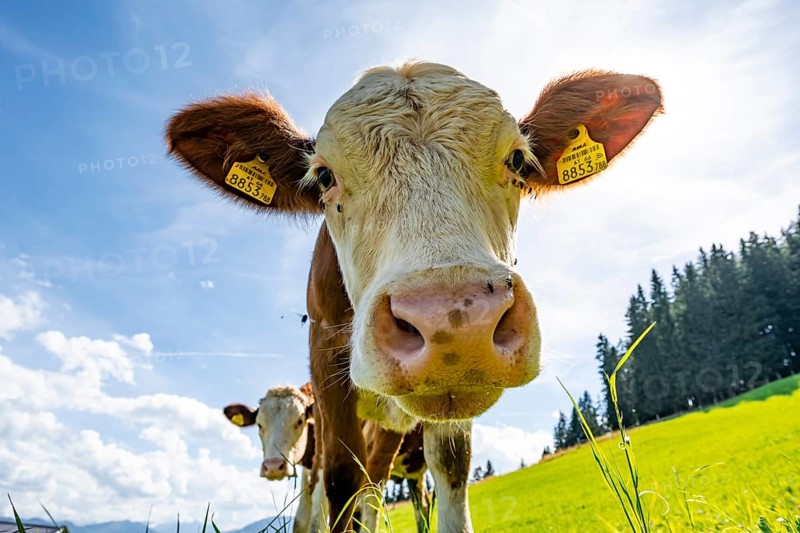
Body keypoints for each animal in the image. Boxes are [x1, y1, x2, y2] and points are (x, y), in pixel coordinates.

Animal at [167, 61, 662, 532]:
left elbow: (448, 468)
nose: (453, 320)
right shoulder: (324, 365)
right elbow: (341, 478)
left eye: (519, 161)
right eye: (324, 176)